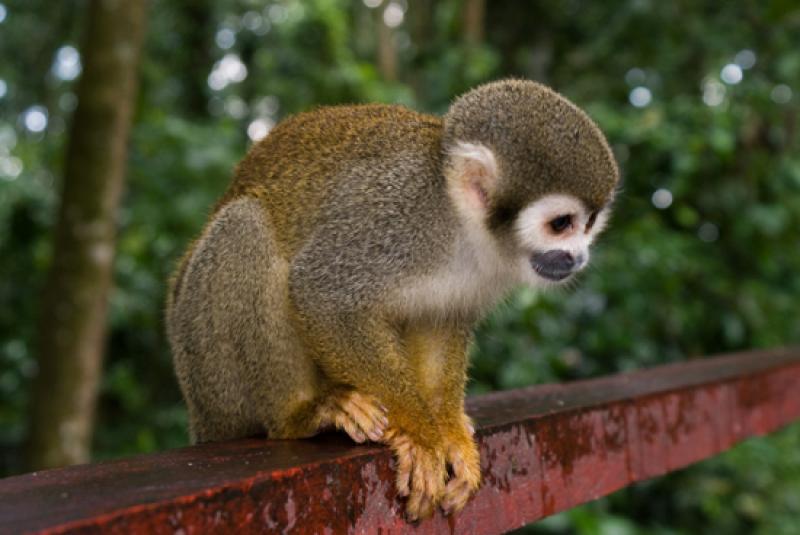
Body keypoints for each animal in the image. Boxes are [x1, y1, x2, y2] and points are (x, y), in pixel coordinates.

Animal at [167, 81, 620, 520]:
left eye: (589, 224)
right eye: (561, 224)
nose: (579, 257)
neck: (458, 222)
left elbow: (441, 321)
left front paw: (448, 431)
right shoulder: (393, 221)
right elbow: (321, 294)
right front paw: (421, 435)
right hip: (210, 369)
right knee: (243, 227)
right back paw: (300, 414)